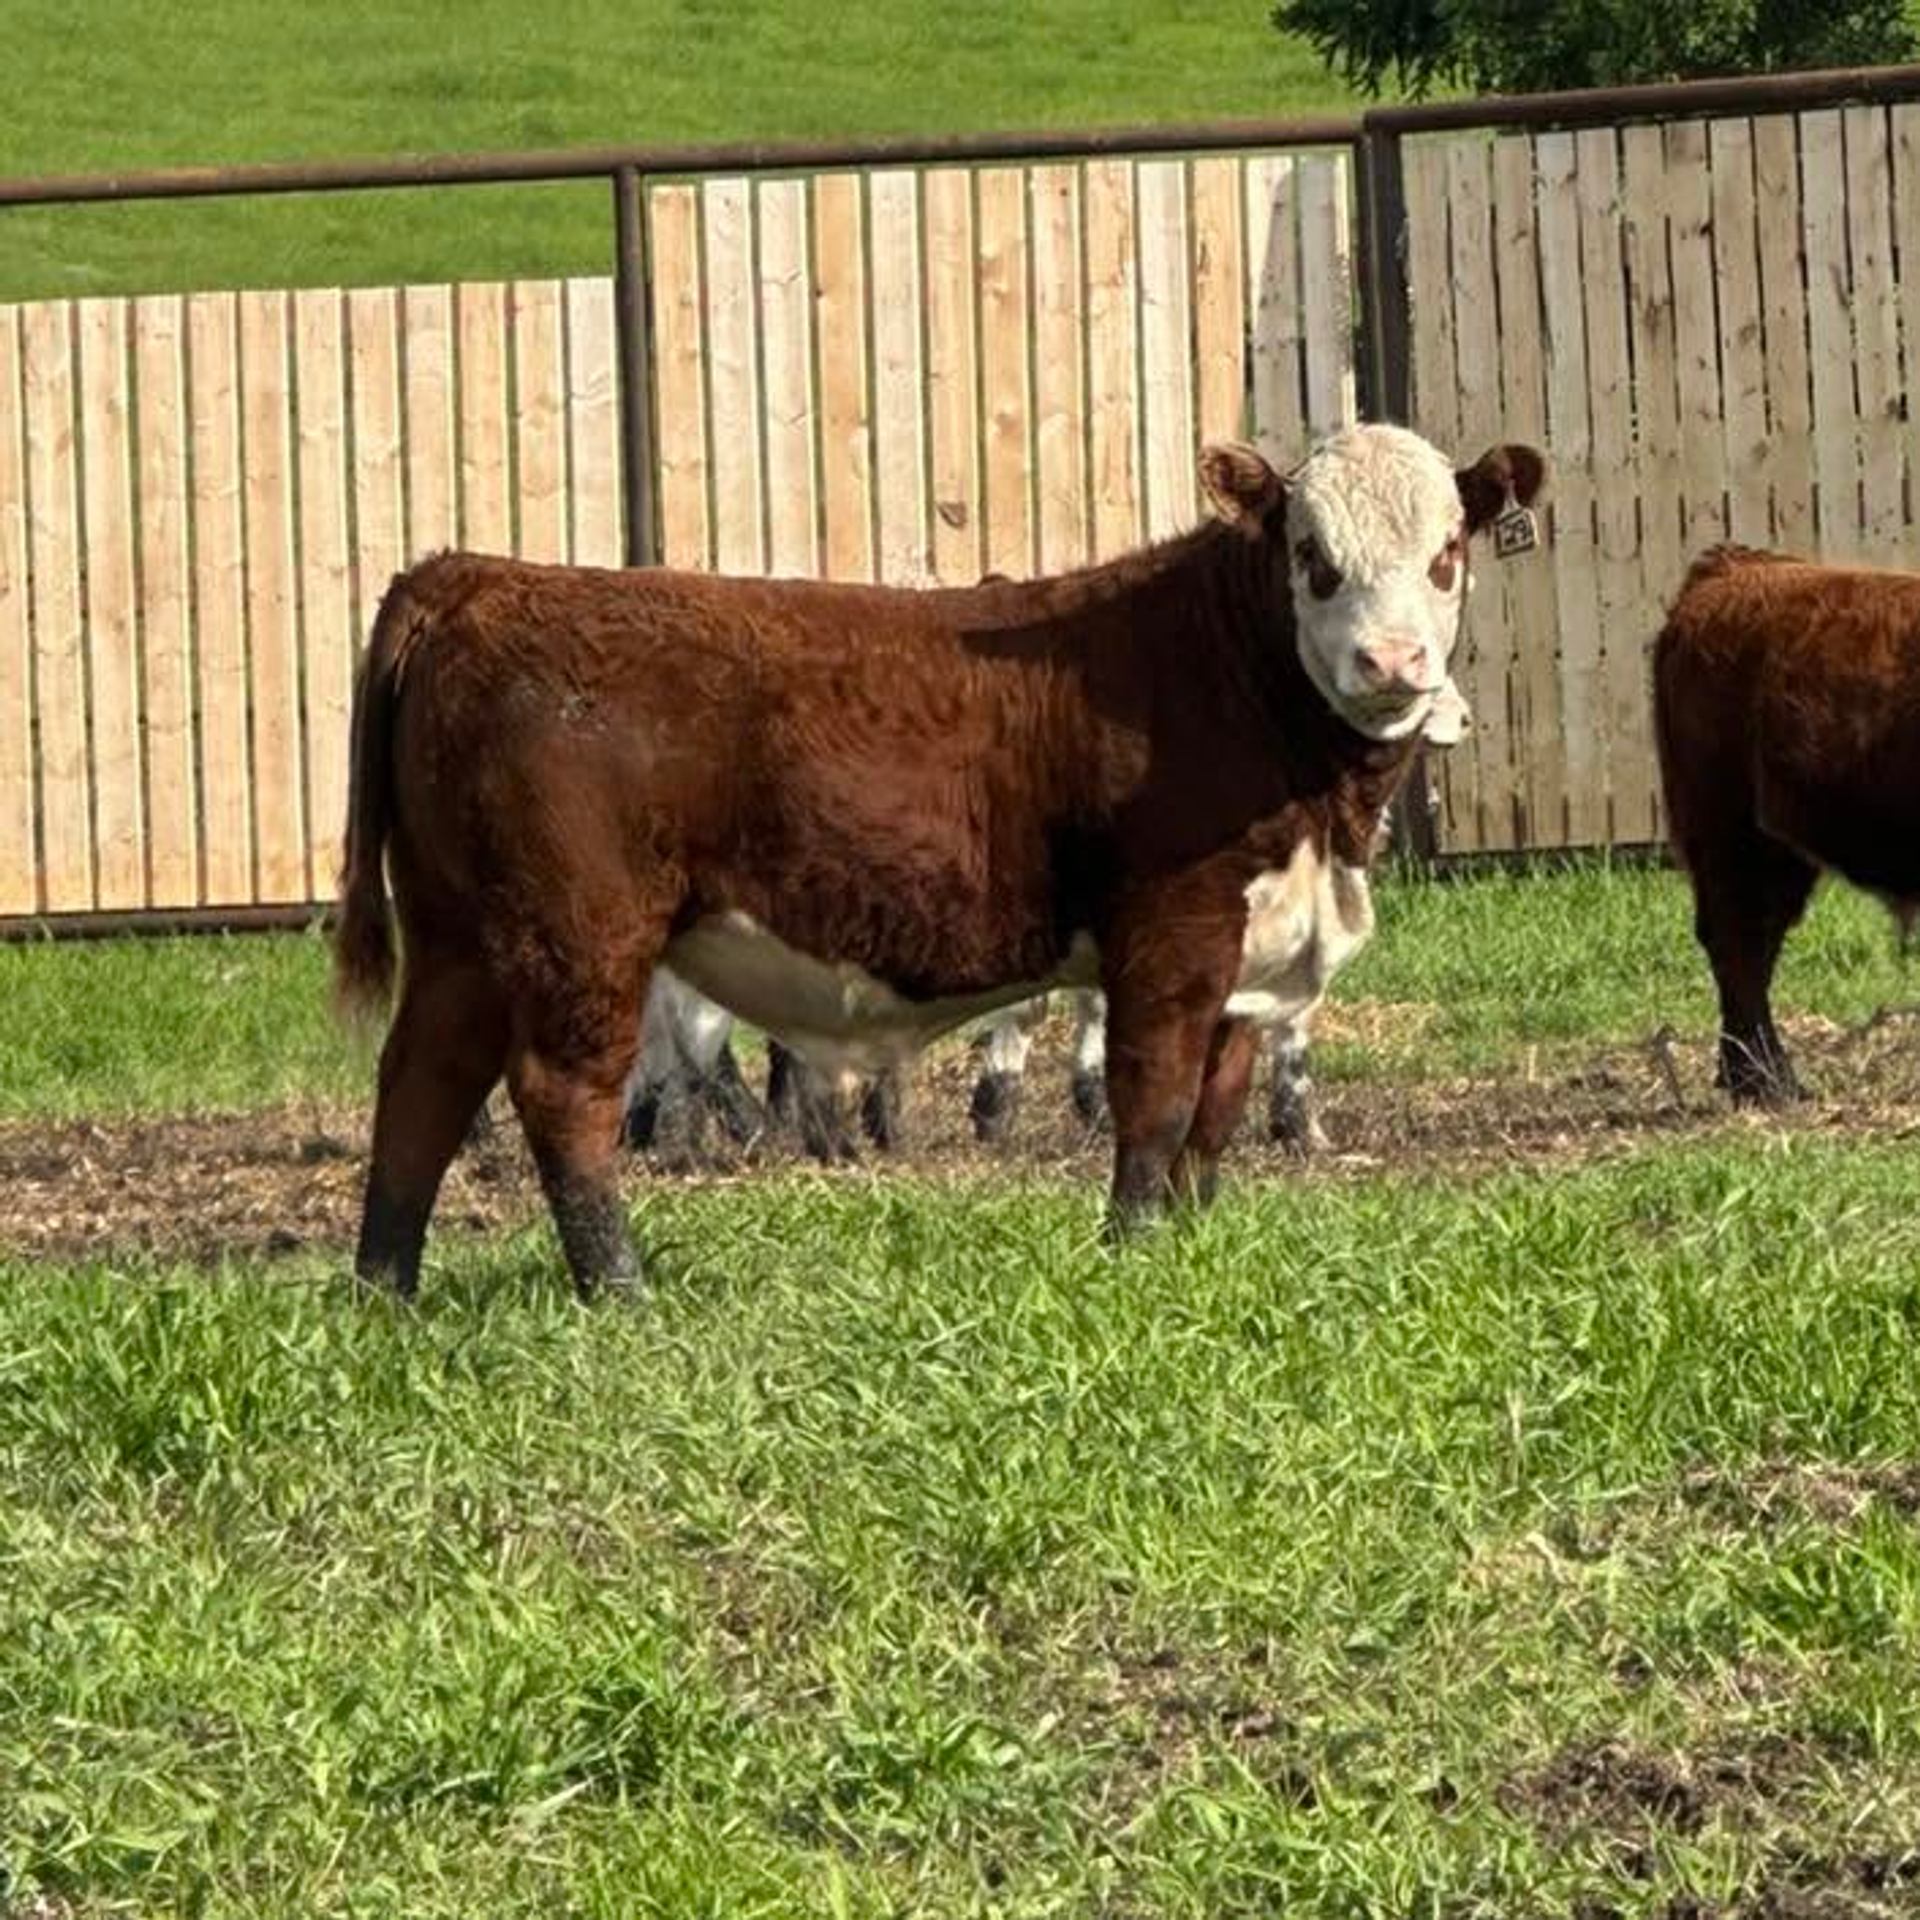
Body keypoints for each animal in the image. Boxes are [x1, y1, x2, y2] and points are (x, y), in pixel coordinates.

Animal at [333, 422, 1544, 1297]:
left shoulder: (1252, 954)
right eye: (1313, 558)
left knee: (422, 1082)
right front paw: (1135, 1250)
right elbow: (1153, 1101)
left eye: (1446, 553)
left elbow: (1216, 1112)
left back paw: (384, 1288)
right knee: (562, 1095)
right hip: (583, 934)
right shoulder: (1172, 929)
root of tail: (480, 576)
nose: (1392, 660)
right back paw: (619, 1288)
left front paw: (1192, 1236)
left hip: (463, 936)